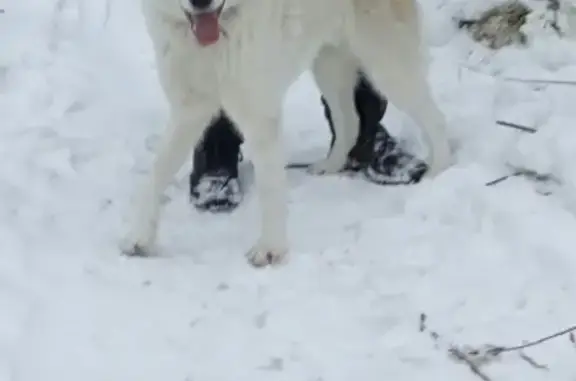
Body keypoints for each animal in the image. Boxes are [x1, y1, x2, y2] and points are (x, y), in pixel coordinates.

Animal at [124, 0, 452, 264]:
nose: (201, 2)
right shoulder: (189, 110)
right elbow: (155, 175)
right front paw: (139, 239)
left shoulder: (259, 114)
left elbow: (271, 188)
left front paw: (270, 249)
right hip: (329, 63)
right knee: (349, 121)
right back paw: (330, 165)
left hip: (386, 65)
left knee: (435, 119)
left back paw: (439, 172)